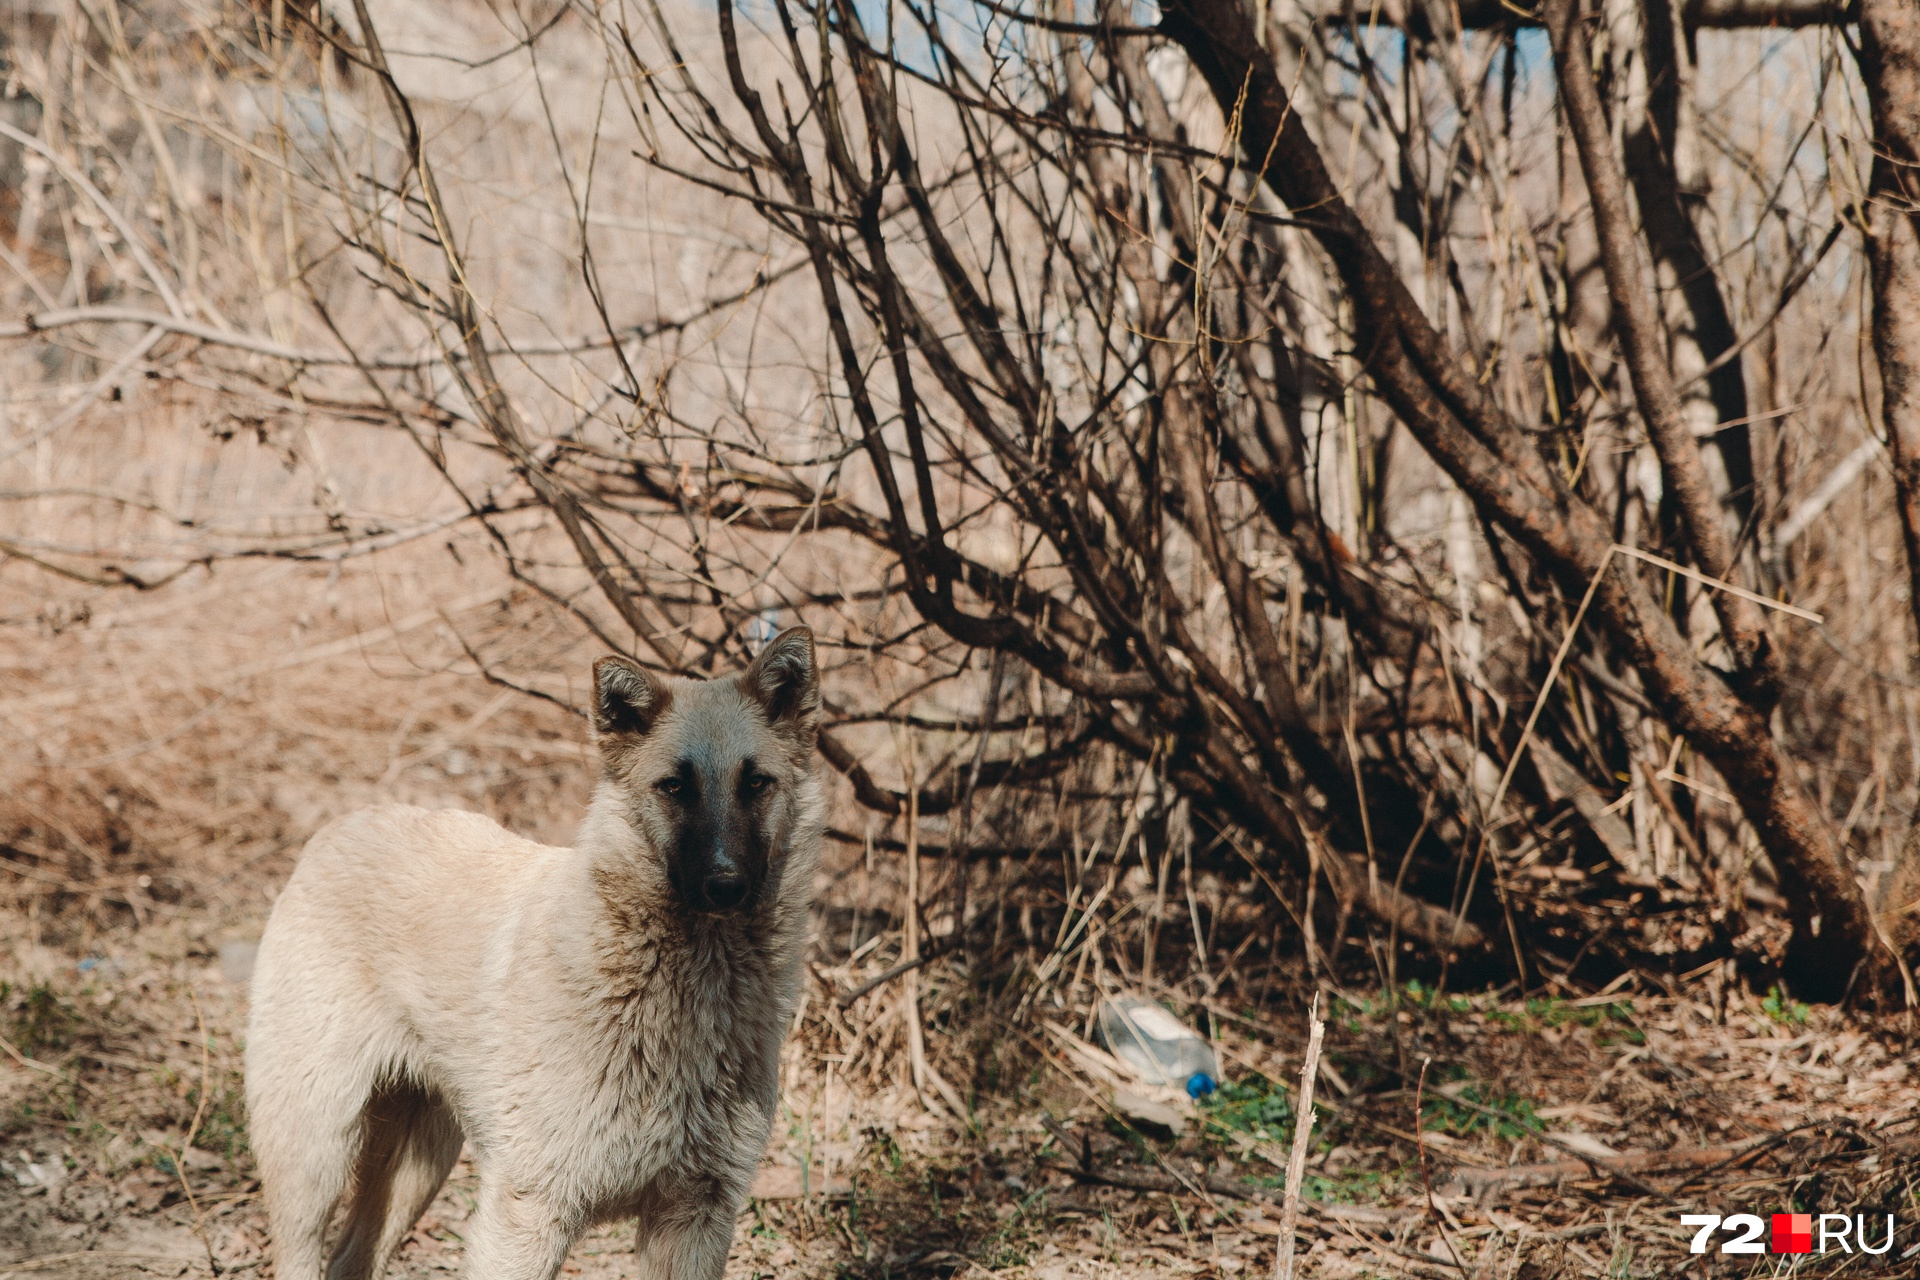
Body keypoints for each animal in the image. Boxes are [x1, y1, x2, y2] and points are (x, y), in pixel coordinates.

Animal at [243, 629, 821, 1280]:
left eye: (756, 783)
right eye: (675, 786)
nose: (726, 886)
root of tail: (340, 825)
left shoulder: (695, 1217)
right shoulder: (530, 1214)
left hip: (419, 1165)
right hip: (315, 1154)